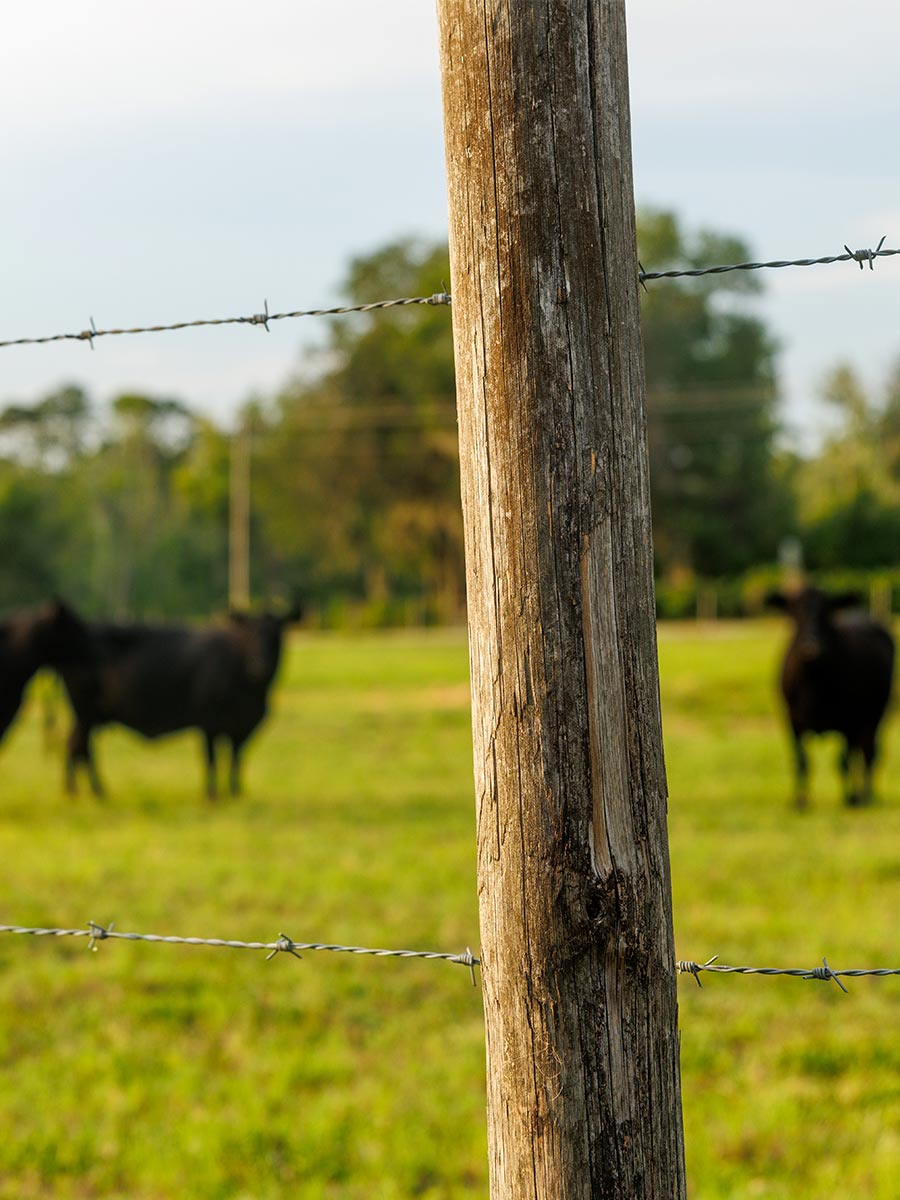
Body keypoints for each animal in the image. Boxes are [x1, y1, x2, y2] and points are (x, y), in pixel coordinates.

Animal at [57, 604, 303, 799]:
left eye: (276, 635)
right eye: (248, 634)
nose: (259, 665)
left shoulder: (244, 727)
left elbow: (235, 760)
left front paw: (235, 794)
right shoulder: (208, 723)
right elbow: (212, 760)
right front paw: (212, 795)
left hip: (89, 715)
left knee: (76, 746)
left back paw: (78, 791)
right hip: (85, 713)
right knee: (81, 748)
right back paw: (94, 791)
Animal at [767, 586, 895, 808]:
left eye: (827, 612)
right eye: (795, 612)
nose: (811, 646)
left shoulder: (849, 722)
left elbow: (843, 762)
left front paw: (850, 798)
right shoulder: (792, 720)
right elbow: (801, 761)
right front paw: (800, 802)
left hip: (876, 715)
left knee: (869, 754)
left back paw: (865, 795)